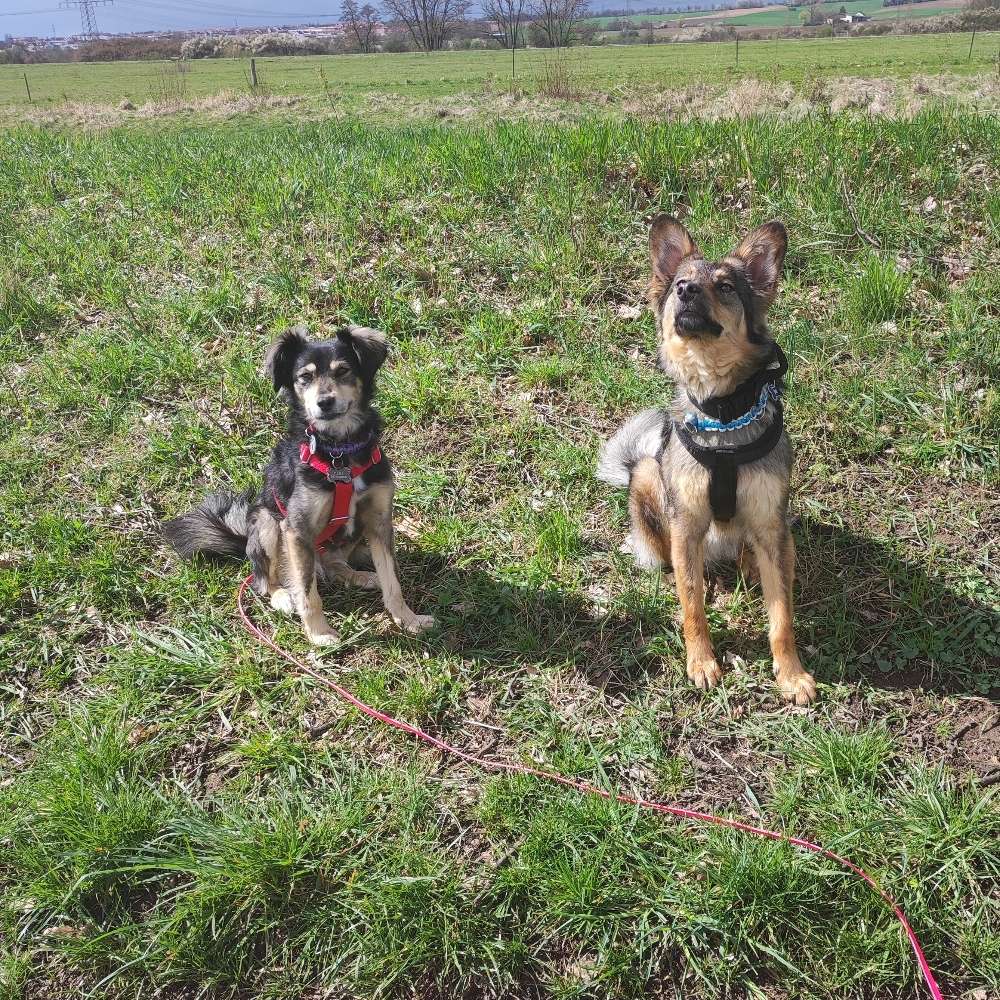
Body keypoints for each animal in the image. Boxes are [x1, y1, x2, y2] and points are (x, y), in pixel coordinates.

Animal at [162, 324, 432, 644]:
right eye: (304, 377)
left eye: (343, 370)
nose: (324, 402)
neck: (339, 453)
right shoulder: (296, 529)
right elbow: (306, 591)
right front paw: (319, 635)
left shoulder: (379, 520)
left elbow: (393, 581)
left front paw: (408, 620)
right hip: (268, 523)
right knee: (265, 579)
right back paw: (281, 596)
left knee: (334, 566)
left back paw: (364, 576)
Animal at [596, 216, 816, 708]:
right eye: (681, 281)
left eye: (725, 286)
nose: (686, 291)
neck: (723, 413)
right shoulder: (688, 521)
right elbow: (692, 604)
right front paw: (701, 663)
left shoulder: (770, 519)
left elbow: (782, 616)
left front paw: (791, 674)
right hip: (647, 475)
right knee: (671, 561)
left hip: (775, 527)